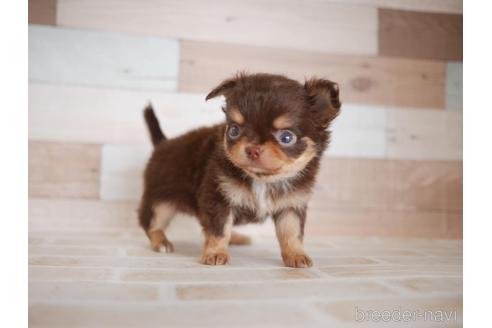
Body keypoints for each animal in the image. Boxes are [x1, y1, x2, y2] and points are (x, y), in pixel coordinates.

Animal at [136, 73, 340, 268]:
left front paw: (297, 255)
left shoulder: (291, 205)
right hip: (160, 201)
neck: (262, 180)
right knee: (152, 223)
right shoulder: (218, 199)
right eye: (234, 131)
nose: (252, 149)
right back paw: (161, 242)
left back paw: (235, 238)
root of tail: (163, 143)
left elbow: (291, 233)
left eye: (286, 137)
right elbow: (218, 230)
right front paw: (215, 253)